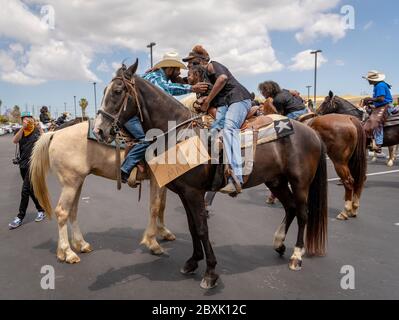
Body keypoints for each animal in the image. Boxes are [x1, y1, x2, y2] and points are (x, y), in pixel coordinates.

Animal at [28, 121, 176, 264]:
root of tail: (55, 133)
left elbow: (162, 206)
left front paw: (165, 232)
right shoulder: (156, 178)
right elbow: (155, 207)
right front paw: (154, 244)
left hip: (76, 183)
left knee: (72, 211)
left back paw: (76, 246)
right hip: (70, 184)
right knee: (62, 212)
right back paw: (69, 253)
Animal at [93, 60, 328, 290]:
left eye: (117, 91)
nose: (99, 130)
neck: (180, 134)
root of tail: (311, 131)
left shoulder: (194, 193)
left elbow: (201, 228)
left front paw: (210, 273)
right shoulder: (185, 193)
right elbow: (192, 227)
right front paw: (193, 262)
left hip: (300, 183)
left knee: (303, 213)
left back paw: (297, 255)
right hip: (275, 181)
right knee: (290, 208)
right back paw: (279, 243)